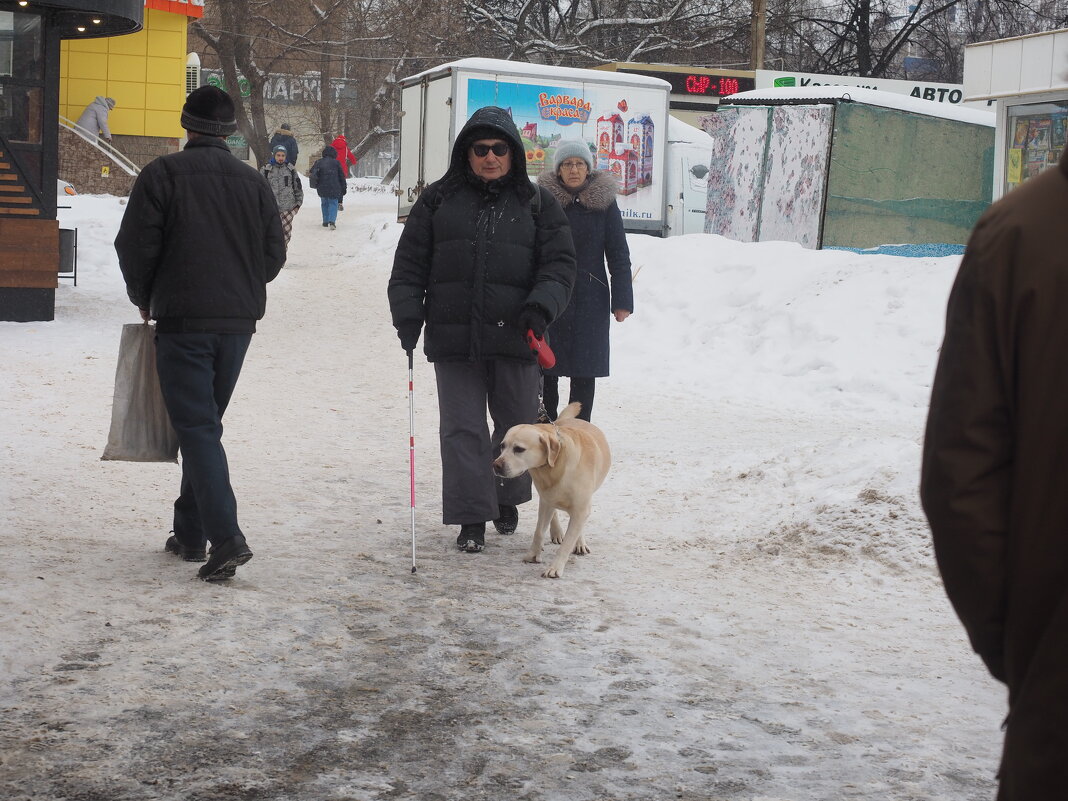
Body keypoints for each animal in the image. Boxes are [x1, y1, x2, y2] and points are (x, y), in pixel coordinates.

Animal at [489, 403, 610, 580]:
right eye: (502, 446)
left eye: (519, 449)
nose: (496, 465)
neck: (556, 466)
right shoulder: (546, 501)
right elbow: (539, 531)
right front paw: (533, 555)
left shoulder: (581, 508)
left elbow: (568, 542)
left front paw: (555, 568)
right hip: (547, 498)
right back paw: (557, 532)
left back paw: (579, 542)